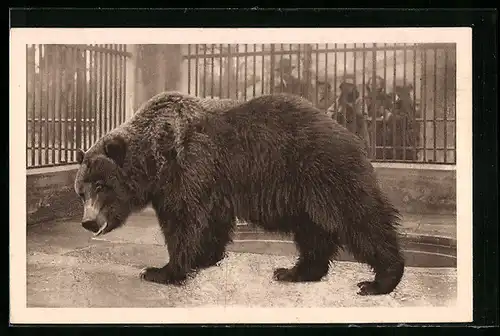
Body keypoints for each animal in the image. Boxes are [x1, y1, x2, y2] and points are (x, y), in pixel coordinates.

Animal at [74, 90, 406, 296]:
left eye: (102, 186)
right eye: (81, 191)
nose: (88, 222)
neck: (156, 161)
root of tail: (352, 135)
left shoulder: (189, 170)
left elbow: (182, 221)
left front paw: (162, 270)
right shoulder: (210, 184)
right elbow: (211, 222)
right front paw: (205, 258)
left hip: (324, 171)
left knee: (359, 217)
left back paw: (381, 280)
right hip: (304, 195)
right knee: (312, 232)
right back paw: (294, 271)